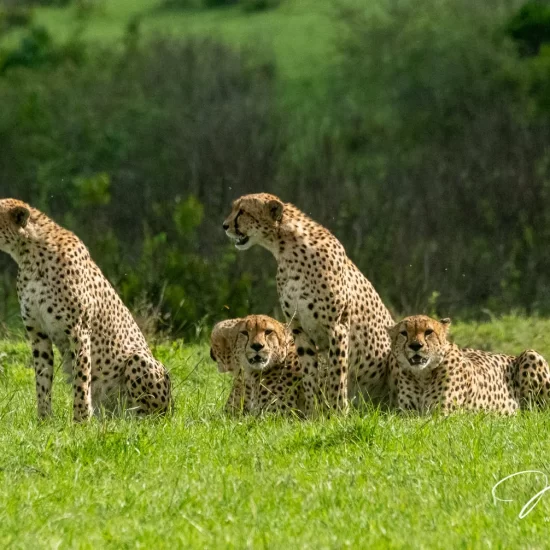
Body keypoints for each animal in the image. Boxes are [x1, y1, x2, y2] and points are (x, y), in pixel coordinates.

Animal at [0, 202, 171, 422]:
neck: (29, 255)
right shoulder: (38, 334)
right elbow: (42, 380)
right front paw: (44, 420)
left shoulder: (78, 330)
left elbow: (81, 379)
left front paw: (80, 421)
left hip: (139, 360)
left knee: (147, 416)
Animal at [224, 194, 396, 414]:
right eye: (234, 209)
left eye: (243, 211)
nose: (225, 225)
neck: (286, 250)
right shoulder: (300, 330)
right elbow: (309, 376)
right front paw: (314, 413)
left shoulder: (337, 327)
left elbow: (337, 374)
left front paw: (338, 413)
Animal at [388, 314, 550, 414]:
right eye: (403, 333)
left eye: (429, 332)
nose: (416, 346)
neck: (422, 375)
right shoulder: (407, 413)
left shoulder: (442, 415)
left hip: (530, 355)